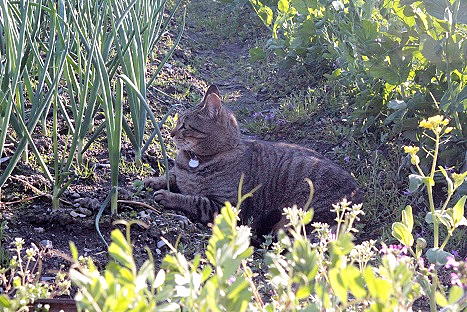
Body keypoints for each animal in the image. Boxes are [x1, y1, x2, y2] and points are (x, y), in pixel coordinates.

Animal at [144, 85, 364, 239]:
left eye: (185, 126)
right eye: (176, 122)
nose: (171, 133)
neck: (196, 161)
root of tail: (358, 194)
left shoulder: (225, 206)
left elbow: (194, 199)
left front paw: (167, 196)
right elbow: (171, 176)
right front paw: (153, 181)